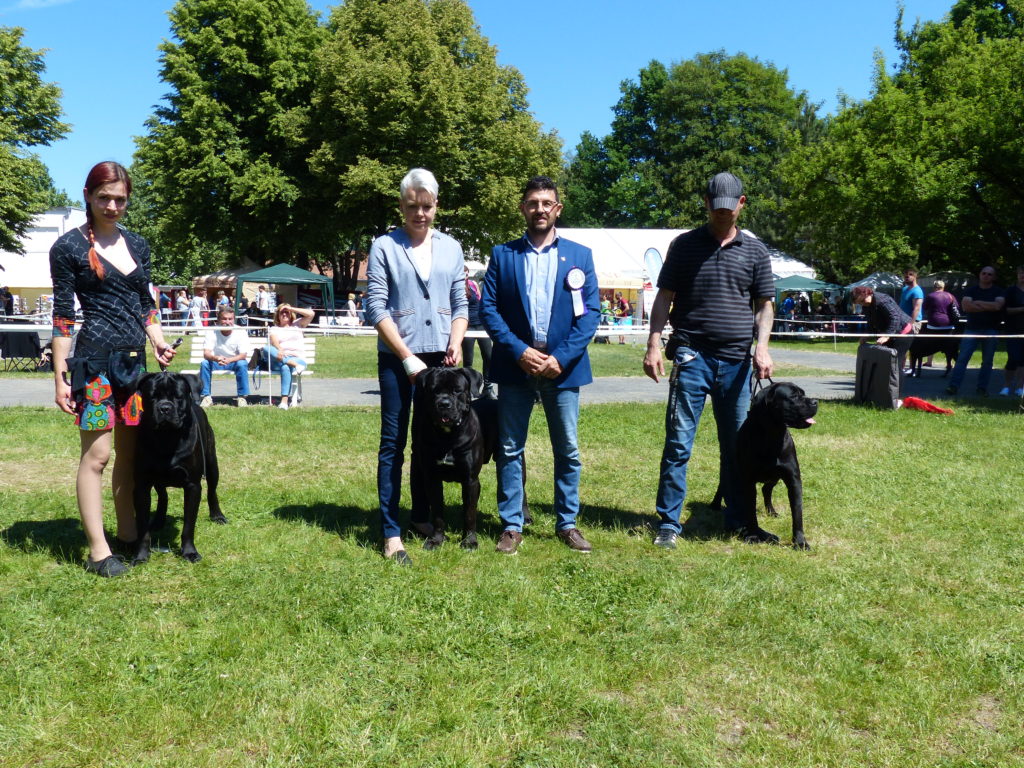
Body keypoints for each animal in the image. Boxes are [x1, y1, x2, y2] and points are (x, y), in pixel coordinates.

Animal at [133, 371, 227, 564]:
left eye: (178, 396)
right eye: (152, 396)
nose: (164, 408)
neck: (166, 437)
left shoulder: (192, 486)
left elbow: (189, 525)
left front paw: (189, 552)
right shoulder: (142, 485)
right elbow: (142, 527)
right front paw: (141, 555)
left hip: (212, 464)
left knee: (212, 491)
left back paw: (217, 515)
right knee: (163, 496)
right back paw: (158, 521)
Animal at [413, 366, 527, 550]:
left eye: (457, 390)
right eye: (434, 390)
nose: (444, 404)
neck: (447, 436)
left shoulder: (470, 480)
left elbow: (470, 514)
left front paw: (469, 541)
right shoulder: (432, 479)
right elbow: (437, 513)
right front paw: (436, 539)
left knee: (521, 489)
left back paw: (526, 516)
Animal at [714, 381, 817, 549]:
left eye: (803, 393)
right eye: (794, 396)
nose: (815, 401)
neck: (772, 435)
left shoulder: (793, 480)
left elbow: (797, 513)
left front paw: (800, 542)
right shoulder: (748, 482)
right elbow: (750, 511)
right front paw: (754, 535)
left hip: (774, 476)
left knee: (766, 489)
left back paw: (771, 511)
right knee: (724, 484)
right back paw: (714, 504)